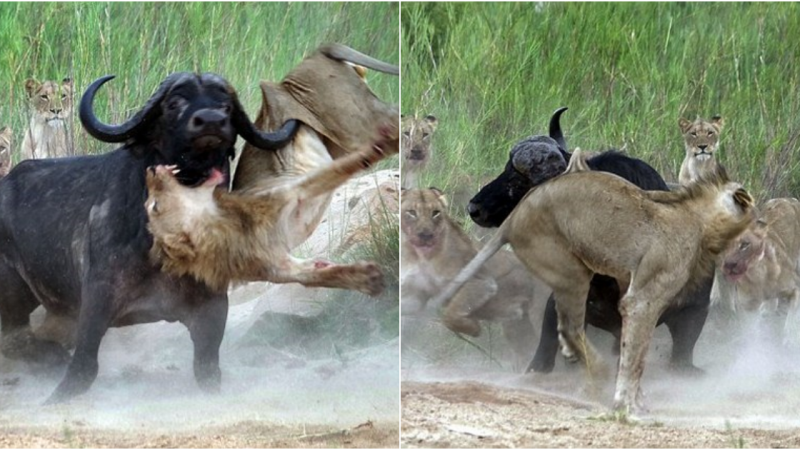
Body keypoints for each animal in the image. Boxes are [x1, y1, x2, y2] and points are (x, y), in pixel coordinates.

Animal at [0, 72, 298, 402]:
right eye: (174, 102)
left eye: (226, 106)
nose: (211, 121)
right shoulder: (97, 298)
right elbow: (83, 368)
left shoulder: (213, 305)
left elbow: (207, 369)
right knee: (15, 338)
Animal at [400, 186, 552, 366]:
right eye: (411, 213)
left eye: (435, 213)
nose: (425, 235)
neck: (426, 257)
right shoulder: (417, 295)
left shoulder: (481, 281)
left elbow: (449, 315)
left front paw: (474, 329)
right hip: (517, 328)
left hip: (540, 313)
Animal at [428, 153, 752, 414]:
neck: (696, 216)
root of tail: (514, 217)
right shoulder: (643, 299)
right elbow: (636, 355)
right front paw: (627, 404)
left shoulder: (630, 290)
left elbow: (633, 348)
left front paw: (636, 398)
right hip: (569, 269)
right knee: (570, 327)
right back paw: (597, 369)